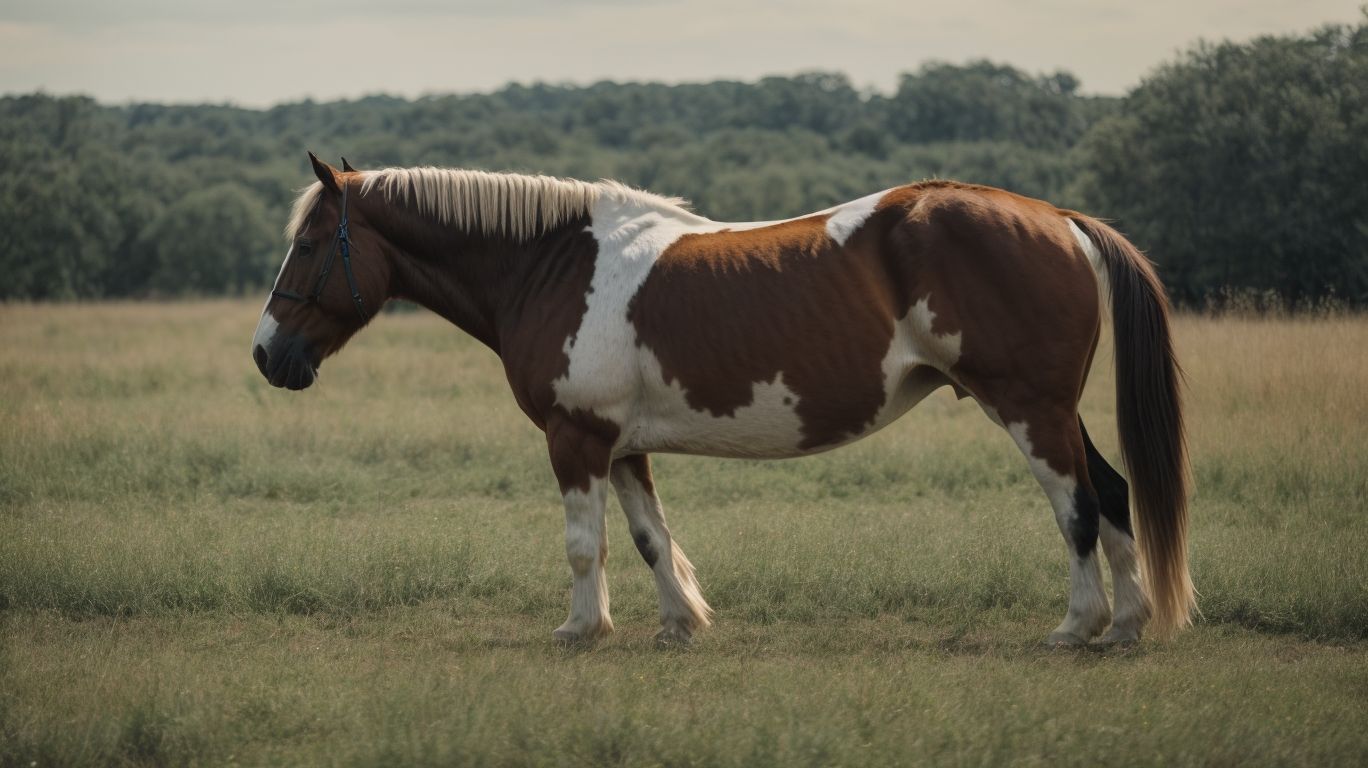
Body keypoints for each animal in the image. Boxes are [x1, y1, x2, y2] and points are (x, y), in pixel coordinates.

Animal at [252, 153, 1193, 648]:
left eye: (310, 244)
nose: (266, 355)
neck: (552, 265)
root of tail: (1059, 219)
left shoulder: (574, 438)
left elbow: (584, 546)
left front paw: (581, 630)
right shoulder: (621, 444)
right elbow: (648, 539)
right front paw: (679, 623)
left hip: (1029, 409)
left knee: (1077, 508)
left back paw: (1078, 624)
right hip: (1055, 410)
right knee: (1113, 495)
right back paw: (1128, 623)